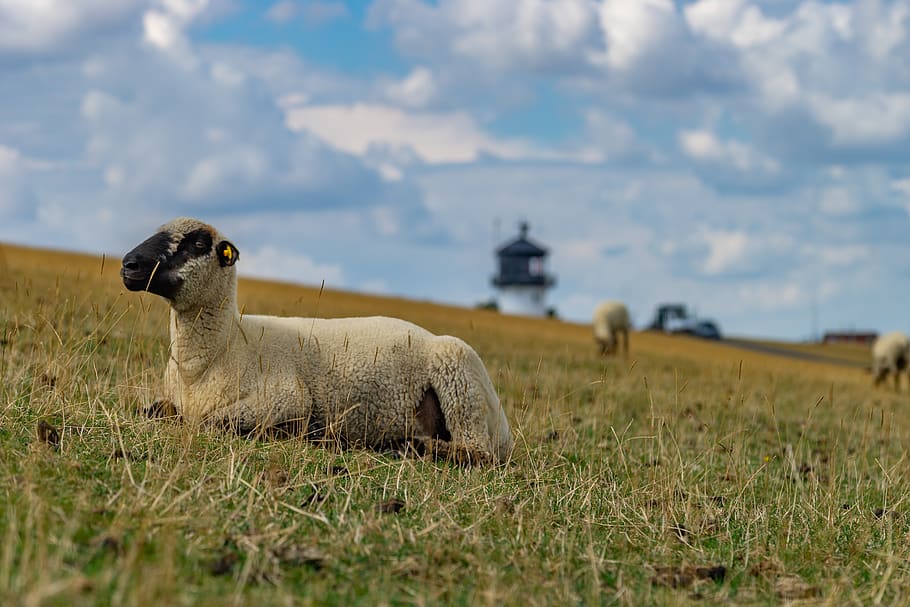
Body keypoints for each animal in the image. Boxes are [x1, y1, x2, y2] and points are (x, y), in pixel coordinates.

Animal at [120, 217, 513, 464]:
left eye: (198, 243)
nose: (129, 264)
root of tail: (505, 429)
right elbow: (155, 411)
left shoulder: (287, 397)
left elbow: (210, 422)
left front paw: (298, 436)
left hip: (459, 377)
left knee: (478, 452)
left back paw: (412, 447)